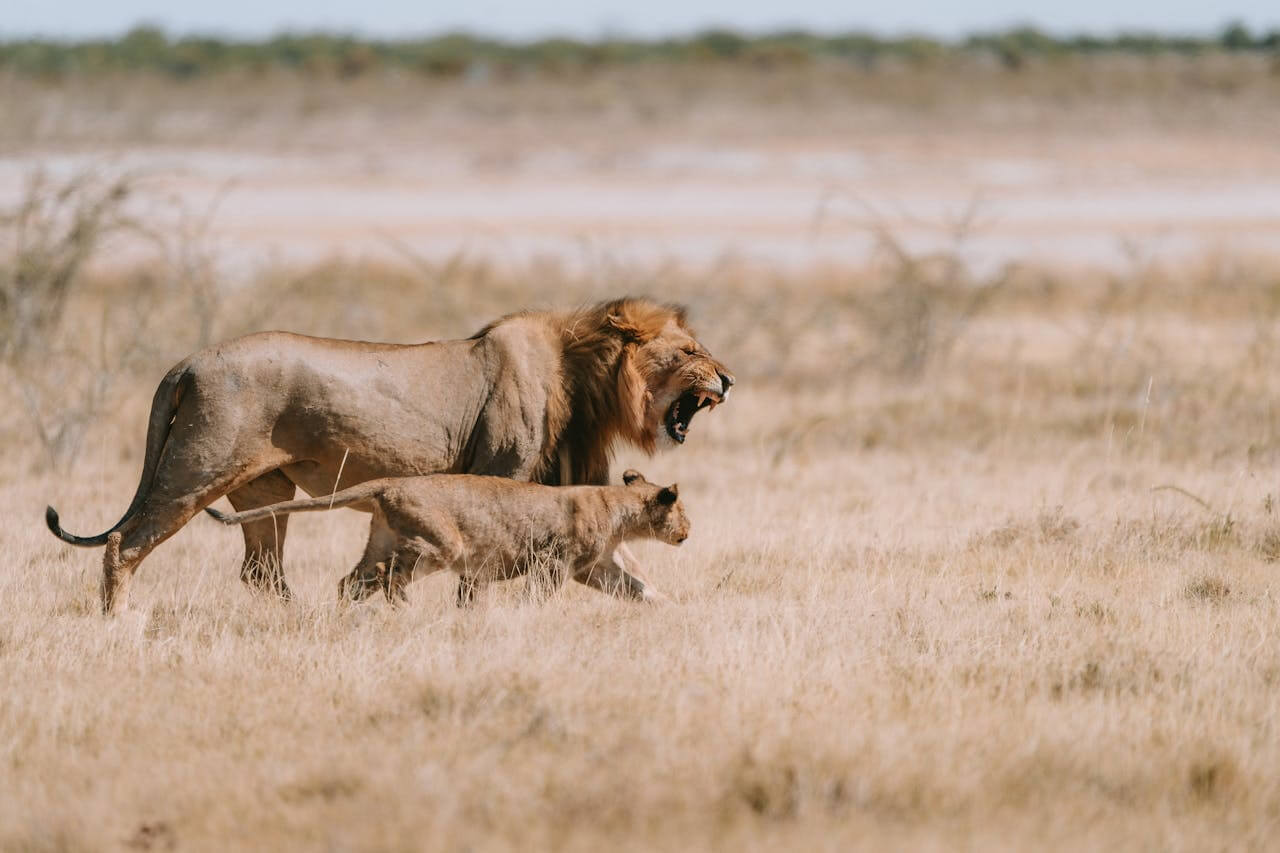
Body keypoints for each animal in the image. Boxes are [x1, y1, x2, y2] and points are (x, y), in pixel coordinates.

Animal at [201, 469, 689, 605]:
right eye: (682, 511)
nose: (688, 533)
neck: (619, 508)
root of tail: (390, 483)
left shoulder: (594, 567)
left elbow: (635, 587)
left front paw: (667, 609)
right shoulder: (554, 562)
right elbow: (536, 597)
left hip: (380, 538)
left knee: (352, 581)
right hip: (440, 542)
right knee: (391, 574)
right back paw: (402, 609)